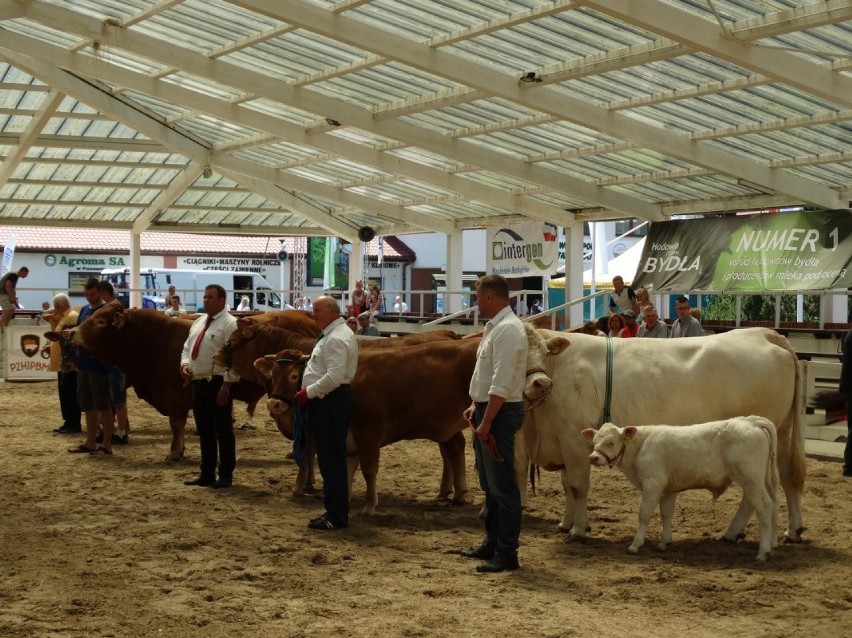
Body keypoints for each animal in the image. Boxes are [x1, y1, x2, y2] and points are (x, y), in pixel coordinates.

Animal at [72, 302, 268, 462]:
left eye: (101, 322)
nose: (72, 332)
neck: (156, 341)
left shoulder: (176, 396)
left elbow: (176, 424)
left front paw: (174, 452)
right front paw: (180, 450)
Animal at [520, 330, 804, 544]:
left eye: (544, 352)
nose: (541, 385)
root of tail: (763, 333)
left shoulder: (573, 440)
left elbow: (577, 486)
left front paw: (578, 529)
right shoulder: (561, 442)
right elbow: (566, 484)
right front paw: (565, 523)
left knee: (756, 493)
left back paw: (736, 531)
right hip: (781, 434)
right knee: (786, 477)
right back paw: (789, 530)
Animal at [584, 418, 780, 564]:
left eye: (611, 442)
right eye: (594, 442)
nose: (593, 457)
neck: (641, 446)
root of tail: (750, 421)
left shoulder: (652, 483)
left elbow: (644, 514)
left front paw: (635, 545)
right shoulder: (668, 489)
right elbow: (666, 514)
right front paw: (664, 542)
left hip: (751, 479)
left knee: (763, 506)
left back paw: (762, 552)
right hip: (762, 480)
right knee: (771, 503)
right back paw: (771, 545)